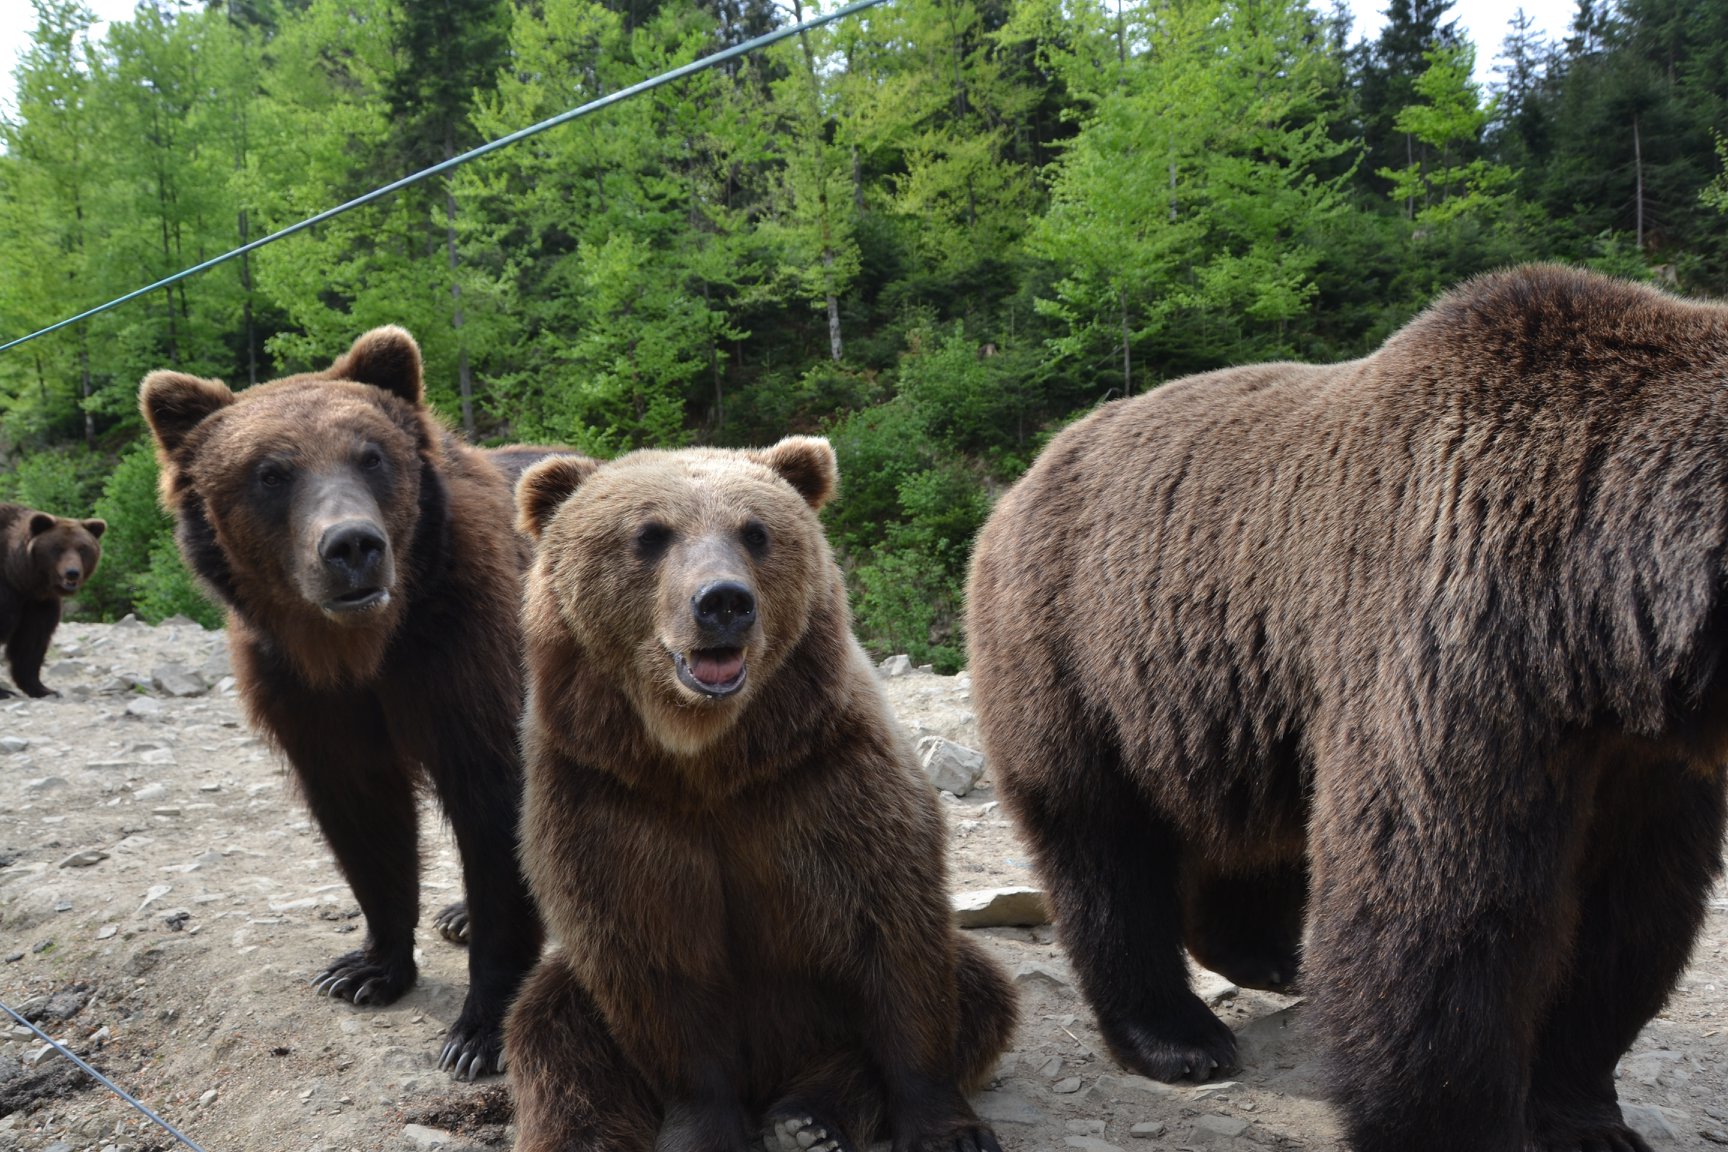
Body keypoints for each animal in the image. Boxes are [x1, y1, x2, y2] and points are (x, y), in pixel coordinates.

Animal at [0, 500, 103, 697]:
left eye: (82, 548)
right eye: (57, 548)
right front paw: (4, 692)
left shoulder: (38, 603)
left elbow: (31, 641)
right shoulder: (9, 593)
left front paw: (42, 688)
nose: (72, 572)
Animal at [143, 326, 546, 1084]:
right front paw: (366, 968)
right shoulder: (310, 696)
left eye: (371, 455)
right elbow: (363, 820)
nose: (352, 545)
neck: (361, 649)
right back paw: (456, 914)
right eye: (271, 472)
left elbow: (495, 809)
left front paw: (478, 1031)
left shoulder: (463, 659)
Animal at [504, 438, 1009, 1152]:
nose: (723, 601)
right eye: (650, 535)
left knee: (980, 989)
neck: (705, 763)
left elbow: (894, 938)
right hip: (572, 989)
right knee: (551, 1034)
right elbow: (653, 964)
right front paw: (706, 1129)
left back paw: (808, 1117)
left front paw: (948, 1128)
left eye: (756, 532)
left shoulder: (824, 783)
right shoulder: (607, 802)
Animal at [967, 264, 1728, 1152]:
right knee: (1102, 846)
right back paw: (1178, 1036)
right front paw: (1446, 1119)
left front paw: (1584, 1115)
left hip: (1229, 697)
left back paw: (1269, 952)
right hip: (1078, 653)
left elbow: (1629, 914)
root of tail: (1026, 477)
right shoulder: (1460, 650)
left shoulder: (1637, 754)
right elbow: (1439, 906)